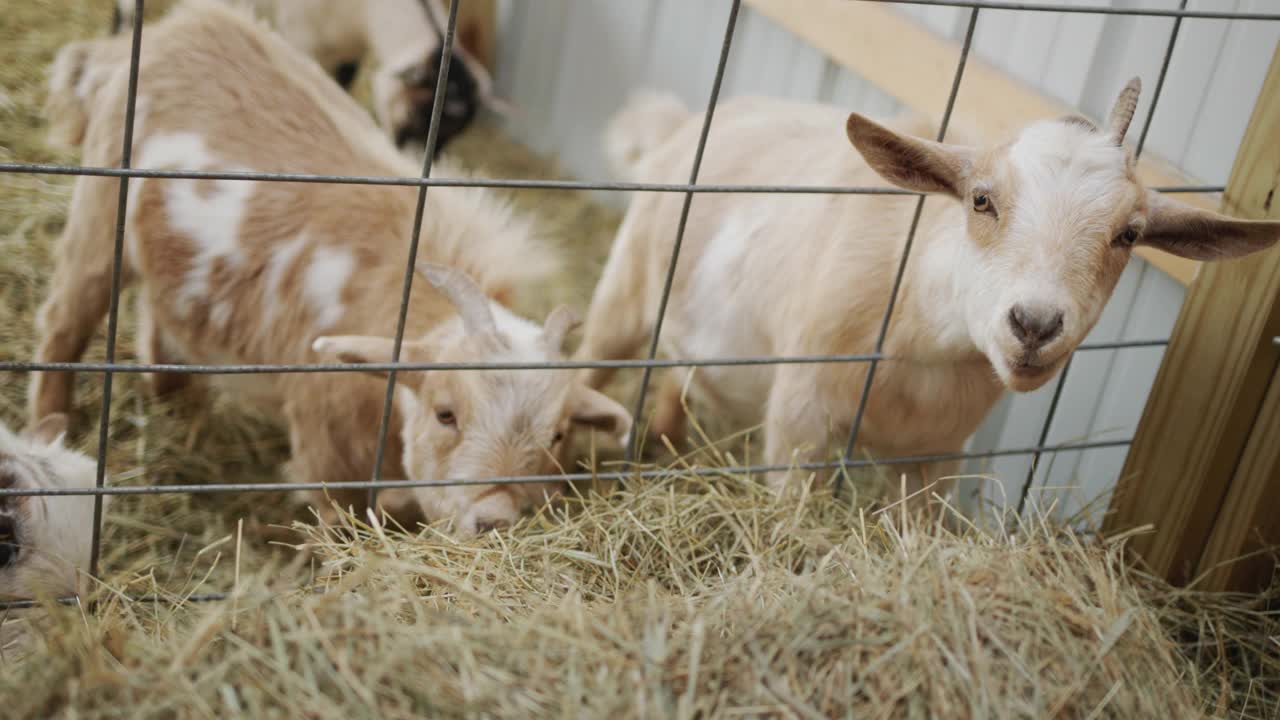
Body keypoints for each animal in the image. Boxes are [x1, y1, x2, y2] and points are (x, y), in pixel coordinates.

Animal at [32, 1, 627, 532]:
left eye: (558, 434)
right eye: (445, 412)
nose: (495, 518)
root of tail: (174, 31)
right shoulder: (326, 448)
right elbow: (337, 522)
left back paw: (173, 396)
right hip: (99, 217)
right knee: (63, 321)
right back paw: (50, 427)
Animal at [583, 81, 1280, 507]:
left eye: (1130, 233)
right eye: (981, 200)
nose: (1034, 324)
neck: (920, 345)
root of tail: (686, 123)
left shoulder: (937, 457)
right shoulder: (800, 415)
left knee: (680, 374)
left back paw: (666, 445)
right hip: (625, 285)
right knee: (598, 357)